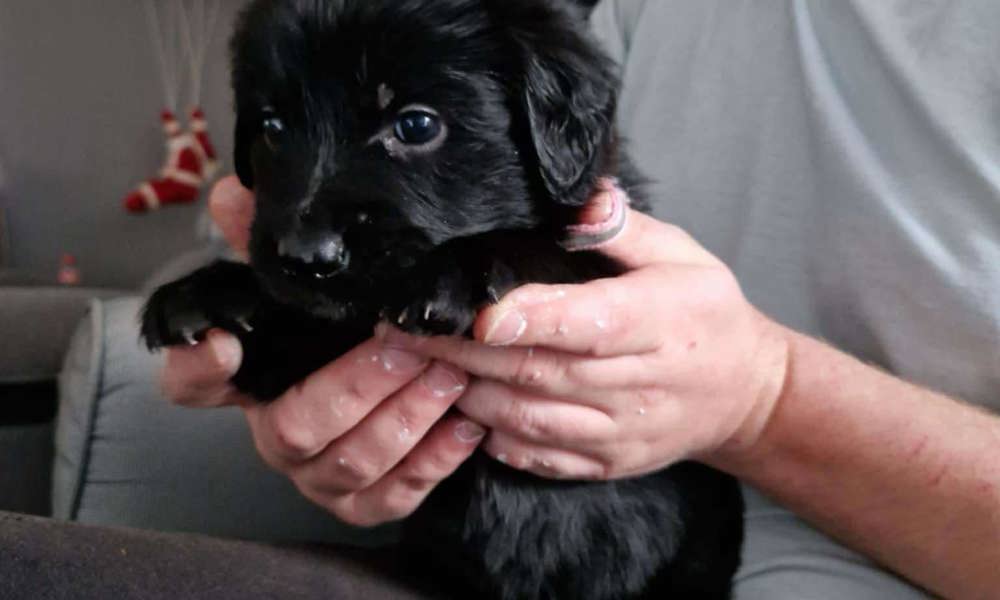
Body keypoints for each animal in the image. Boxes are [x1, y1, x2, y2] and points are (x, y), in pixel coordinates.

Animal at [145, 2, 748, 596]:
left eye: (416, 125)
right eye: (271, 127)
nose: (305, 256)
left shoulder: (606, 270)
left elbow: (544, 253)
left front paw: (459, 271)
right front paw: (210, 293)